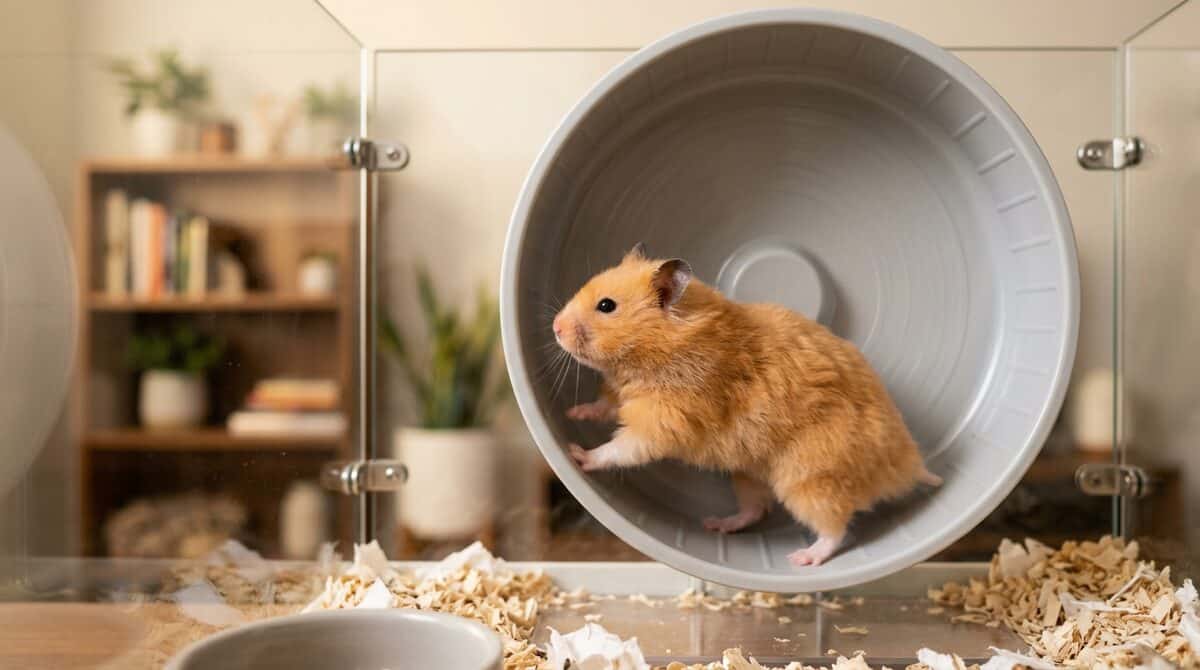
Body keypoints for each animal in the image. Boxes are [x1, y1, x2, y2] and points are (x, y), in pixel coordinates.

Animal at [551, 243, 941, 567]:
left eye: (606, 306)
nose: (555, 327)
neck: (654, 354)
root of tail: (906, 463)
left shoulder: (664, 422)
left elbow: (621, 449)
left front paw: (578, 455)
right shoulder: (623, 397)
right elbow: (603, 407)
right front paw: (574, 413)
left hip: (811, 480)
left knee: (836, 527)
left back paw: (802, 558)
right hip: (749, 474)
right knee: (756, 511)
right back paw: (718, 524)